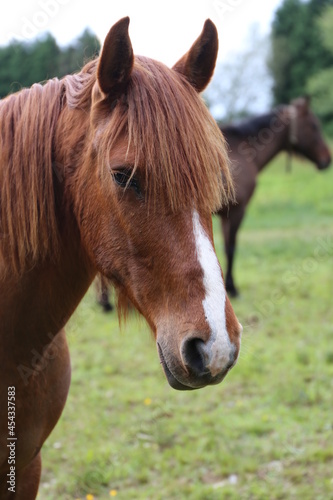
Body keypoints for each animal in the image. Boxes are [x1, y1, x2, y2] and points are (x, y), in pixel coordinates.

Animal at [218, 96, 330, 296]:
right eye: (314, 125)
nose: (327, 159)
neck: (243, 151)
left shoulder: (225, 215)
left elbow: (225, 247)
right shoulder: (237, 210)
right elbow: (231, 247)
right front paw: (232, 288)